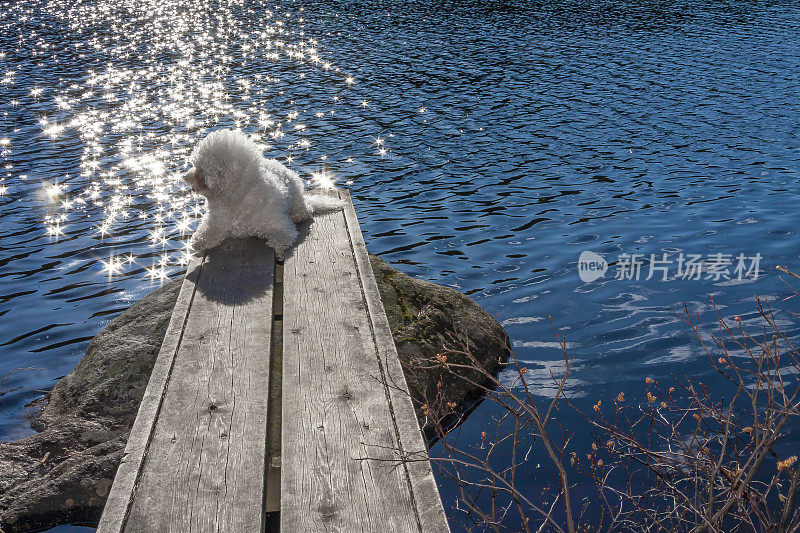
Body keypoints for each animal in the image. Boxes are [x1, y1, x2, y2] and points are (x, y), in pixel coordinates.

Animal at [183, 127, 342, 256]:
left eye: (199, 169)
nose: (184, 177)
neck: (238, 197)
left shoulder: (280, 224)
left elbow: (283, 236)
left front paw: (278, 247)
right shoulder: (216, 222)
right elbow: (206, 232)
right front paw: (199, 241)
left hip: (297, 196)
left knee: (305, 210)